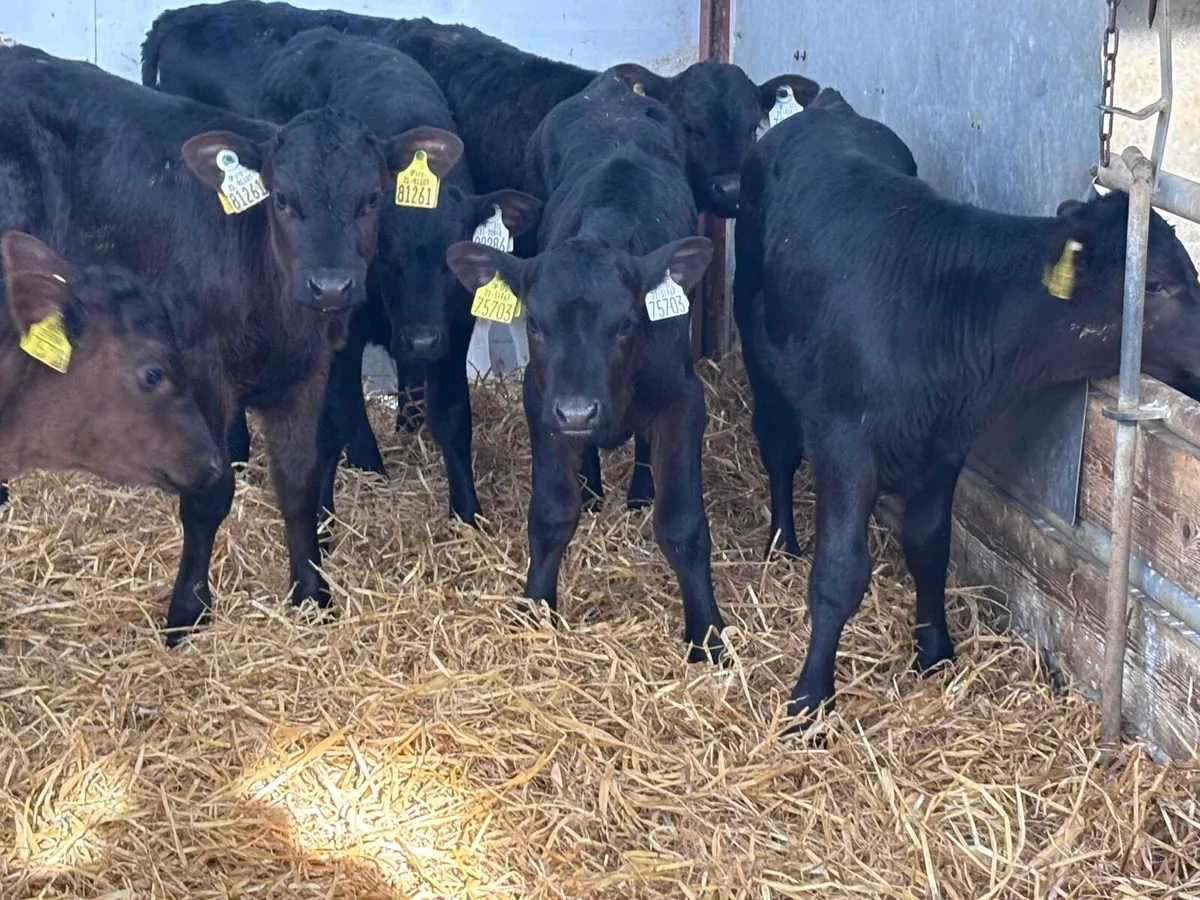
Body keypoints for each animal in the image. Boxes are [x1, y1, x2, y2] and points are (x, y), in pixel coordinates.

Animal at [251, 27, 542, 524]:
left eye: (455, 259)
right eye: (383, 254)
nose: (422, 339)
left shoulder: (453, 329)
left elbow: (452, 415)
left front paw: (467, 512)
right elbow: (336, 416)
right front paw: (332, 504)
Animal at [445, 72, 727, 664]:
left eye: (626, 323)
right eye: (535, 324)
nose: (578, 411)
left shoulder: (684, 398)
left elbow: (683, 524)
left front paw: (707, 634)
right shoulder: (540, 400)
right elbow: (552, 512)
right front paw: (535, 607)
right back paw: (593, 484)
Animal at [733, 89, 1200, 727]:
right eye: (1154, 285)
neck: (941, 306)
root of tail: (827, 107)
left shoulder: (947, 442)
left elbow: (930, 544)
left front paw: (934, 651)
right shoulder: (845, 442)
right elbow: (839, 572)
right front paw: (809, 697)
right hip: (758, 346)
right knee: (777, 444)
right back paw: (782, 541)